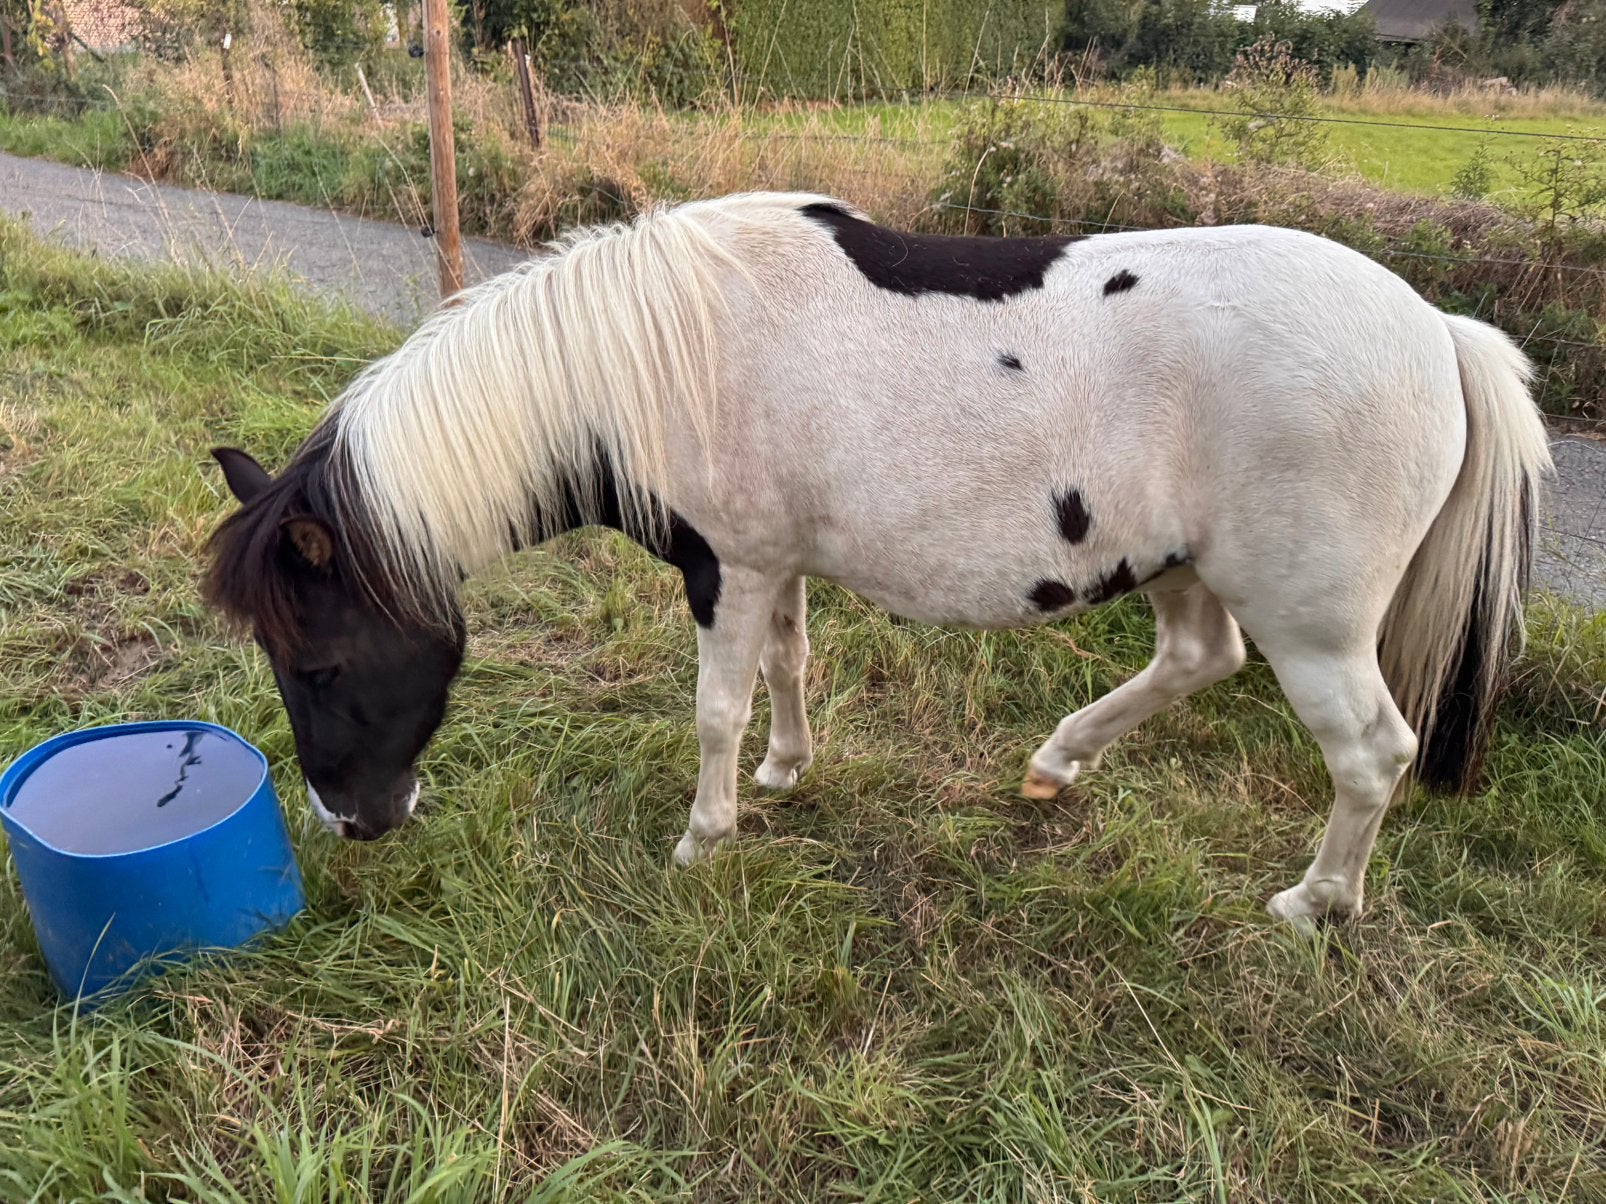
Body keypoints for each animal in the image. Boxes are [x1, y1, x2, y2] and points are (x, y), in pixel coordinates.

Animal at [202, 192, 1551, 929]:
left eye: (317, 664)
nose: (352, 820)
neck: (654, 357)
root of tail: (1437, 329)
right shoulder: (775, 564)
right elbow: (789, 669)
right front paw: (787, 771)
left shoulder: (729, 568)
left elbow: (715, 706)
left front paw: (705, 835)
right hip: (1184, 570)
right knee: (1194, 659)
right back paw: (1057, 761)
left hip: (1311, 622)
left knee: (1370, 754)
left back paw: (1315, 903)